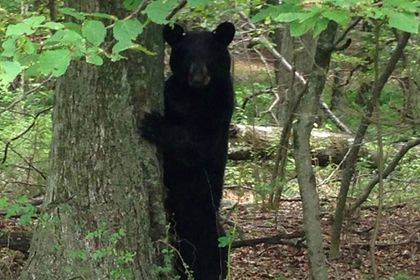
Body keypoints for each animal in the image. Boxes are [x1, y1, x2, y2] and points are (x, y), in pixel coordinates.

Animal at [139, 22, 235, 280]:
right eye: (185, 55)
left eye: (210, 54)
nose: (198, 77)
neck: (195, 96)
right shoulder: (172, 93)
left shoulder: (220, 108)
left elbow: (197, 145)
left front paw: (153, 124)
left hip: (203, 230)